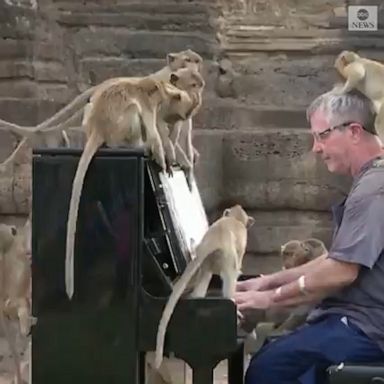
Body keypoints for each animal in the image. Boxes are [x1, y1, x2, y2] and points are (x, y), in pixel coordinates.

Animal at [64, 77, 196, 300]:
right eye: (182, 115)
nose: (180, 120)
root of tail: (98, 128)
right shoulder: (150, 105)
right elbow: (154, 133)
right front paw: (164, 160)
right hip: (119, 128)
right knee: (134, 112)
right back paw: (138, 147)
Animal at [153, 204, 255, 368]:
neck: (235, 218)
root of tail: (213, 241)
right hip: (226, 258)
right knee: (230, 276)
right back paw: (233, 302)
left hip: (208, 262)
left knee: (205, 278)